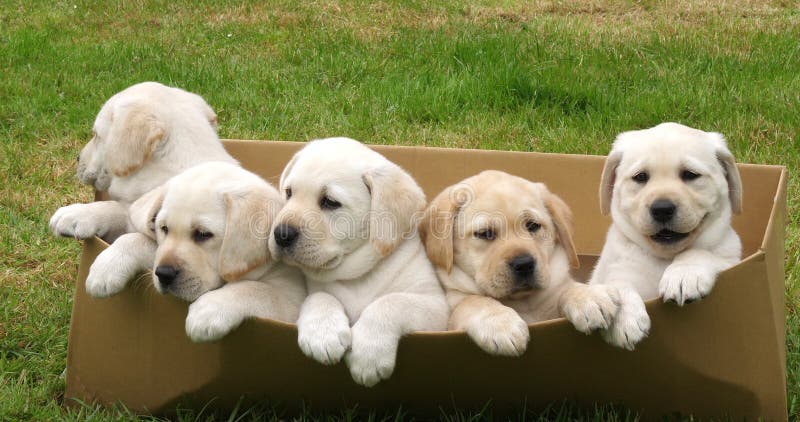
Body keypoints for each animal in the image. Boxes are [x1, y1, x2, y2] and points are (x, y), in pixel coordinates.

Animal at [85, 162, 304, 342]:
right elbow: (143, 241)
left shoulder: (292, 301)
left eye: (203, 234)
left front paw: (211, 309)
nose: (163, 274)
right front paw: (108, 266)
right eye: (163, 228)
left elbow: (258, 289)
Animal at [270, 138, 450, 386]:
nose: (281, 234)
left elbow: (391, 302)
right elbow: (320, 295)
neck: (356, 274)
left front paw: (368, 354)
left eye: (330, 202)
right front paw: (323, 333)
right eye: (288, 193)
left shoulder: (435, 307)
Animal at [418, 171, 620, 356]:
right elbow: (474, 301)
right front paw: (501, 324)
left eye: (532, 226)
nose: (524, 264)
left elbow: (565, 287)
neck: (523, 302)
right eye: (485, 233)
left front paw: (588, 296)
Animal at [580, 123, 744, 350]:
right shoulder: (618, 268)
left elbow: (700, 252)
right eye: (640, 177)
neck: (664, 257)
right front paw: (623, 319)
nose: (662, 209)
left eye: (690, 174)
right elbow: (616, 284)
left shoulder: (732, 261)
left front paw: (684, 274)